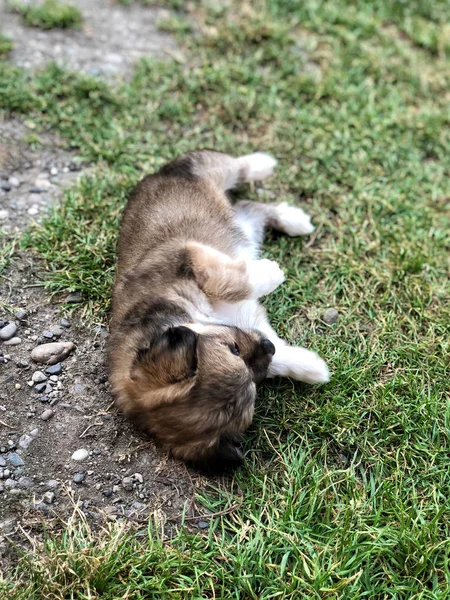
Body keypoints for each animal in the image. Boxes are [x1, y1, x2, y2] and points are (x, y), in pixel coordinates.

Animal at [107, 150, 328, 474]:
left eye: (233, 348)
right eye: (252, 391)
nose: (268, 345)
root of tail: (154, 174)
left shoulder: (188, 255)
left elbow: (226, 280)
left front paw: (270, 274)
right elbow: (278, 358)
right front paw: (313, 367)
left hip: (211, 168)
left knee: (238, 167)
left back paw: (267, 170)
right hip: (244, 224)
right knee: (251, 207)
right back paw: (290, 217)